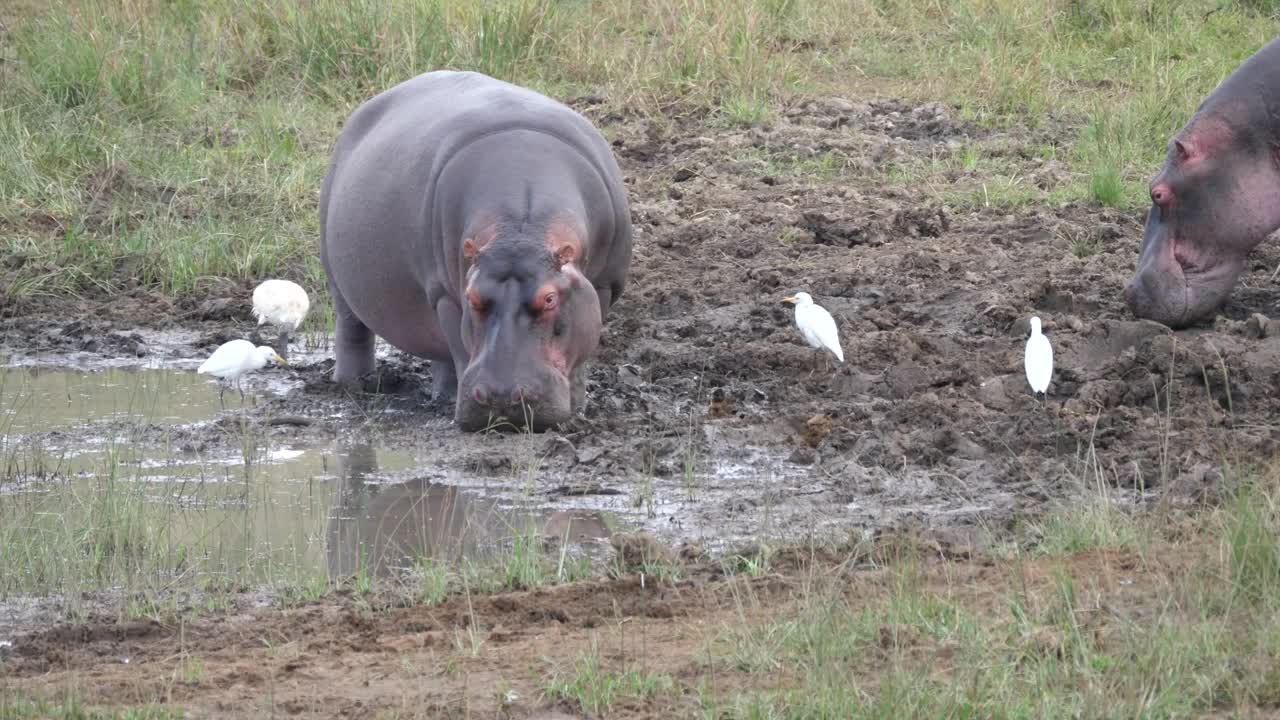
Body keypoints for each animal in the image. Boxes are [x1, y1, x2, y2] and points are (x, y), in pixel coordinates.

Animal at [319, 71, 633, 431]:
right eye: (472, 297)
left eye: (550, 298)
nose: (501, 398)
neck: (520, 230)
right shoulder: (446, 295)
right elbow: (459, 346)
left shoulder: (603, 285)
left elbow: (583, 350)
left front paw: (579, 406)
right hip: (338, 275)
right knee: (353, 328)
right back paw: (360, 385)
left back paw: (438, 394)